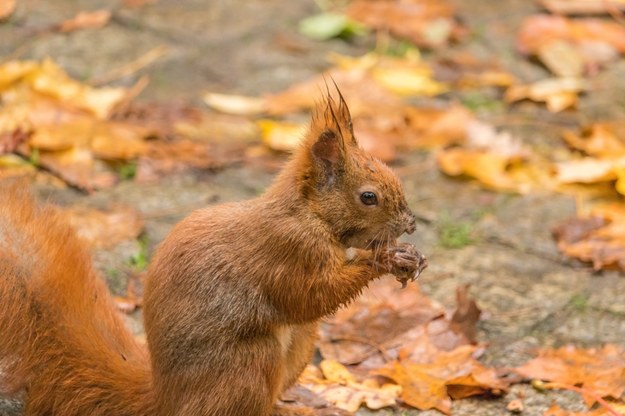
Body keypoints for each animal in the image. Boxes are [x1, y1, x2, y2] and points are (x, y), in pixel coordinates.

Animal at [0, 92, 424, 416]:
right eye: (368, 197)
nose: (411, 223)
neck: (307, 212)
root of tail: (166, 401)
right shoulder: (287, 248)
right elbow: (309, 296)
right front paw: (387, 259)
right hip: (249, 363)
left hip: (299, 345)